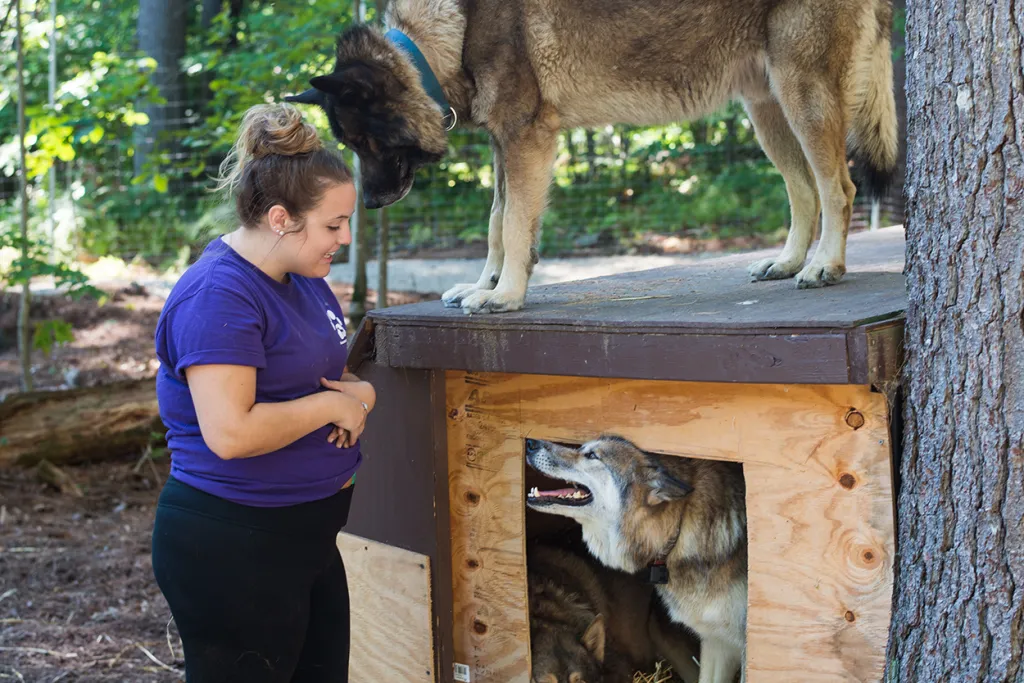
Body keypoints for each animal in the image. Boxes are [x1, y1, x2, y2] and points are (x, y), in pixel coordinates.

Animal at [286, 0, 897, 313]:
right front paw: (485, 285)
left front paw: (505, 296)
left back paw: (825, 266)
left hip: (802, 100)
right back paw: (789, 262)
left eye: (367, 145)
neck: (445, 33)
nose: (369, 203)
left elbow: (513, 228)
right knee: (804, 191)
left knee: (839, 189)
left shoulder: (527, 140)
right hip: (768, 112)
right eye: (352, 148)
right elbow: (496, 223)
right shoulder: (505, 147)